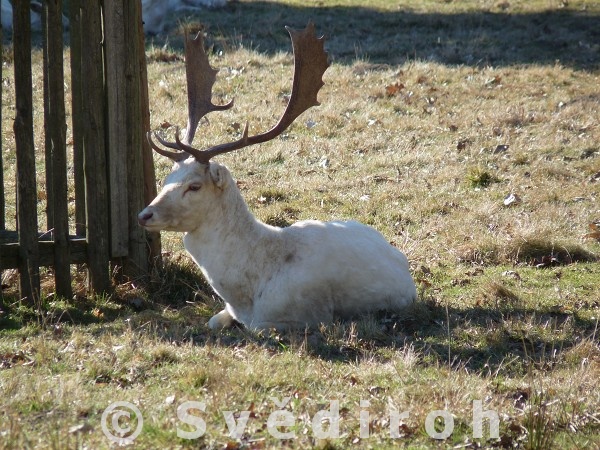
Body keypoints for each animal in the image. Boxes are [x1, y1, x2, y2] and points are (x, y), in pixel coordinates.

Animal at [139, 24, 418, 330]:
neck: (246, 295)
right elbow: (213, 321)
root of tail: (402, 261)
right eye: (166, 179)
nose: (144, 215)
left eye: (194, 186)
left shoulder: (298, 317)